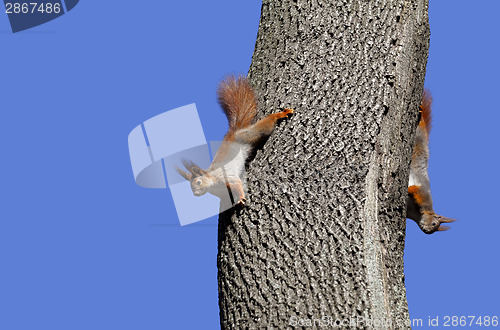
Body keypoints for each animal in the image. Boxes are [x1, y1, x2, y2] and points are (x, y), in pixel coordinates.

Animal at [176, 76, 292, 208]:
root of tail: (234, 132)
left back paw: (280, 115)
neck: (213, 181)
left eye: (199, 182)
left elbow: (236, 183)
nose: (195, 194)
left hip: (250, 134)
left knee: (266, 125)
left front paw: (240, 198)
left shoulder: (226, 177)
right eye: (190, 187)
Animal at [408, 90, 456, 233]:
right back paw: (420, 112)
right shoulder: (424, 193)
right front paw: (409, 190)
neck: (416, 213)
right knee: (421, 122)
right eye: (435, 223)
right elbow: (415, 189)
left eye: (435, 228)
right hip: (419, 134)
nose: (428, 231)